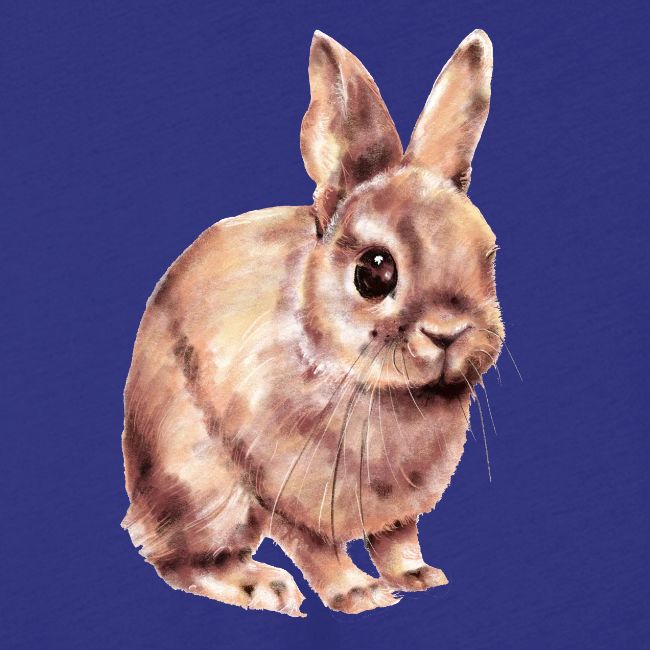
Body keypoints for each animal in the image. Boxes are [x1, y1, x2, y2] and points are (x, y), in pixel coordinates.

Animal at [122, 28, 504, 617]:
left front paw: (417, 576)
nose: (447, 332)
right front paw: (361, 594)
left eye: (488, 256)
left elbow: (397, 538)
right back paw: (264, 586)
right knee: (180, 560)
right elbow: (316, 548)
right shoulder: (281, 489)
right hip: (205, 488)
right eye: (375, 272)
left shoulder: (396, 511)